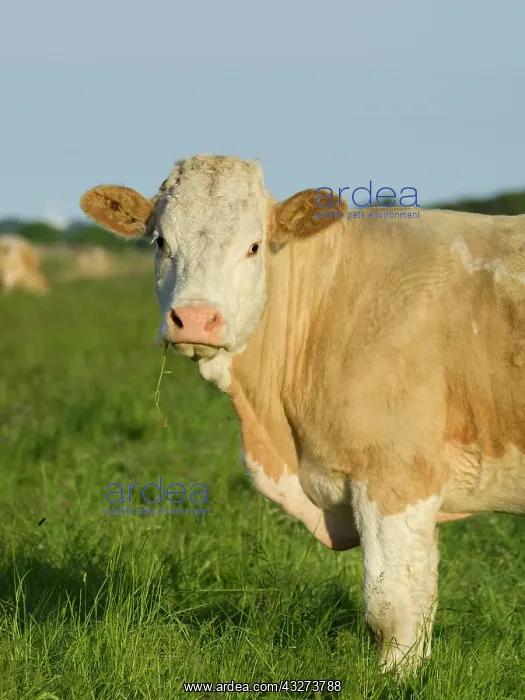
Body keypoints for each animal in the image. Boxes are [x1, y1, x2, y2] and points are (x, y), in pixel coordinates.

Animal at [80, 154, 525, 675]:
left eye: (253, 246)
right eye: (161, 242)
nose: (195, 319)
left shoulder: (396, 476)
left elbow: (393, 609)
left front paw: (397, 681)